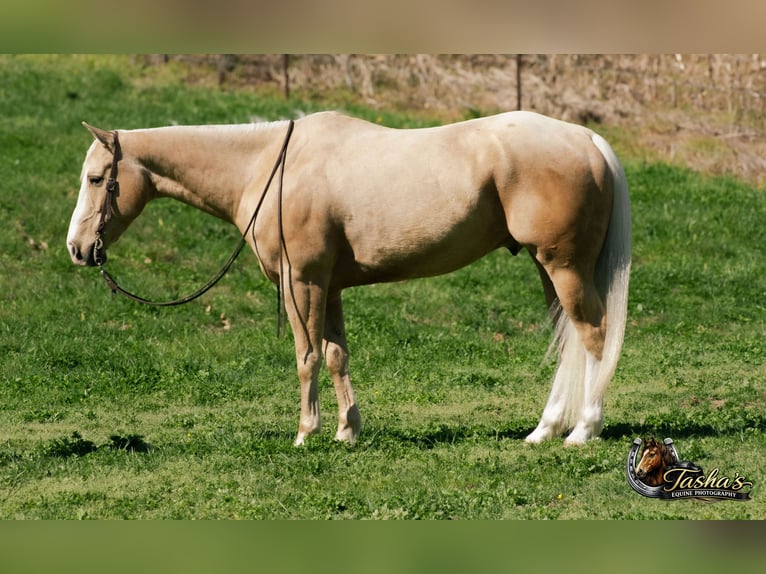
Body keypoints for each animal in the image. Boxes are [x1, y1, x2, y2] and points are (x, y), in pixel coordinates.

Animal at [66, 110, 631, 447]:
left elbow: (306, 357)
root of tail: (588, 139)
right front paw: (346, 432)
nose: (77, 249)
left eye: (96, 178)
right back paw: (544, 430)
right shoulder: (330, 286)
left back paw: (583, 430)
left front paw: (306, 433)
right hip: (548, 268)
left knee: (593, 336)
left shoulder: (302, 282)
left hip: (563, 267)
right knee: (569, 342)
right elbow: (337, 355)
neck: (270, 168)